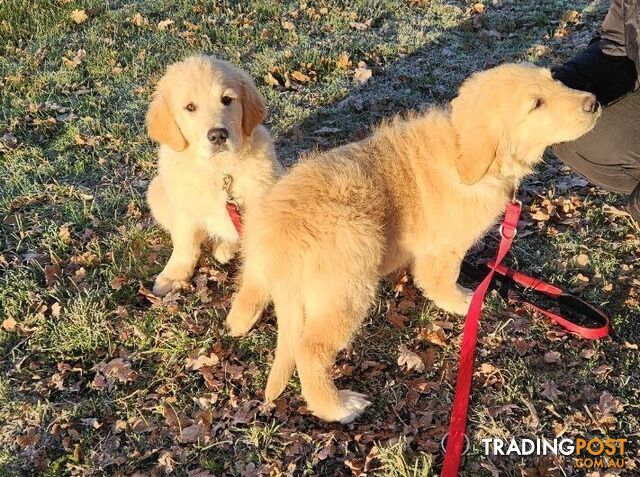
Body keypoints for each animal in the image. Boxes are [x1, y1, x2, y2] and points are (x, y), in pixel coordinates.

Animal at [149, 54, 284, 294]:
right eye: (190, 107)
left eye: (227, 99)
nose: (218, 135)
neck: (220, 171)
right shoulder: (184, 210)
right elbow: (185, 245)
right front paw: (174, 275)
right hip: (156, 191)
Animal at [225, 62, 600, 420]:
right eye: (536, 104)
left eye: (554, 79)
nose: (594, 102)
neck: (461, 152)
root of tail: (279, 242)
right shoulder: (445, 248)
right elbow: (441, 280)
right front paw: (463, 301)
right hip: (347, 286)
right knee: (309, 350)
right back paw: (339, 407)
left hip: (260, 263)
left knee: (248, 294)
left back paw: (240, 320)